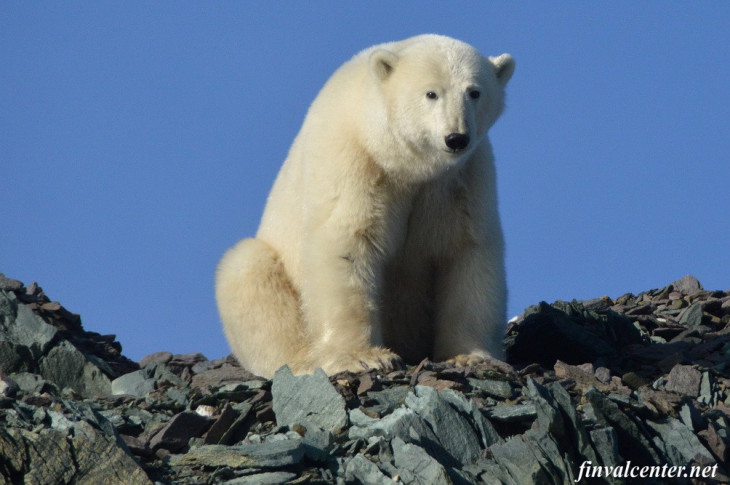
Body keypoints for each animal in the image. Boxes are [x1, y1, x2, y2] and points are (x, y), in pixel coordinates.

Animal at [215, 35, 512, 378]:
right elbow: (348, 242)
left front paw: (470, 356)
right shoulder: (355, 161)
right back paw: (303, 360)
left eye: (474, 91)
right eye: (431, 93)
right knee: (245, 269)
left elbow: (468, 251)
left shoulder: (461, 180)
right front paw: (363, 357)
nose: (456, 138)